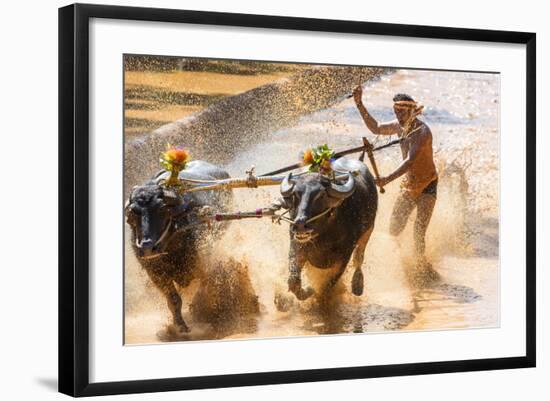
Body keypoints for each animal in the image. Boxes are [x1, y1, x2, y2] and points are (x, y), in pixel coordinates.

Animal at [125, 160, 233, 334]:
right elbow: (174, 299)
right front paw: (180, 325)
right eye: (133, 212)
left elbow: (204, 288)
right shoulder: (155, 273)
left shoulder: (203, 262)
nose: (147, 247)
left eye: (162, 209)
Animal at [276, 158, 380, 302]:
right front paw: (308, 290)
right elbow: (293, 280)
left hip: (368, 230)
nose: (300, 224)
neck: (323, 235)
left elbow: (327, 285)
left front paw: (318, 298)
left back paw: (357, 285)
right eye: (296, 194)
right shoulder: (297, 247)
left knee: (359, 258)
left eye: (320, 195)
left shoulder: (343, 258)